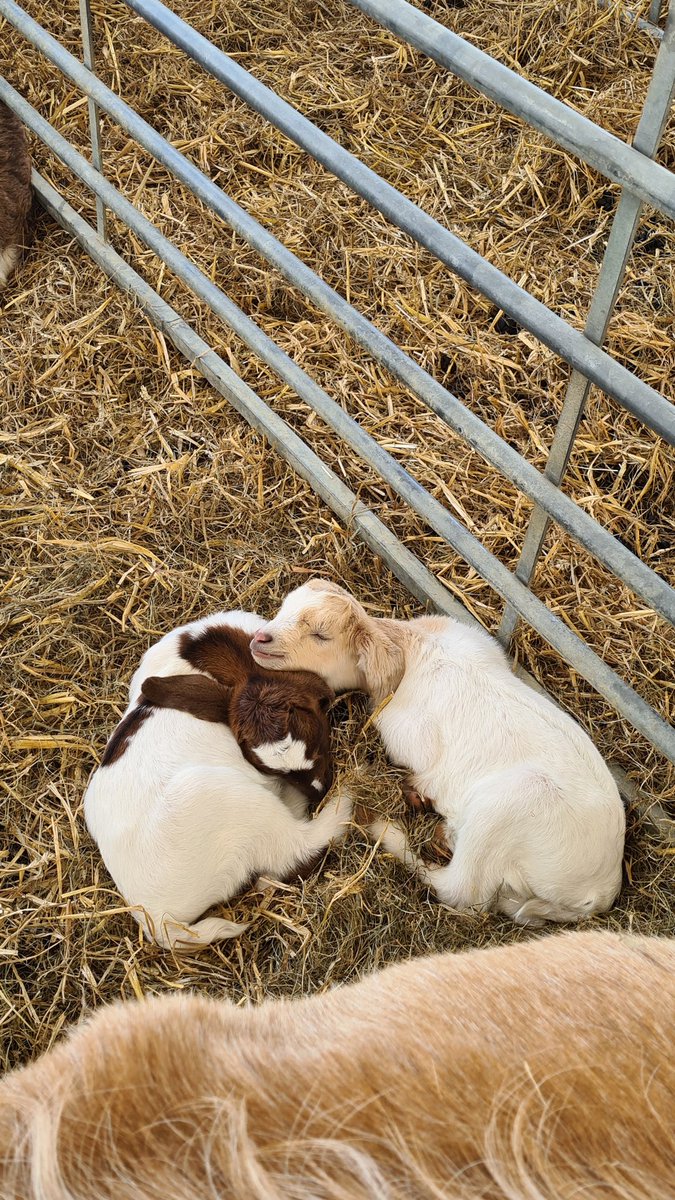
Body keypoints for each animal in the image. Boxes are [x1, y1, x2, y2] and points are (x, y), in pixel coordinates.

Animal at [84, 610, 351, 950]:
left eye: (316, 743)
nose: (319, 789)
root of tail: (157, 919)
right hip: (226, 802)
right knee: (297, 850)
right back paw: (347, 798)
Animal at [251, 580, 625, 926]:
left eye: (321, 634)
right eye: (284, 608)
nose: (260, 639)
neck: (416, 650)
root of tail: (599, 891)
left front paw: (414, 794)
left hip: (505, 809)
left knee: (460, 890)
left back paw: (384, 827)